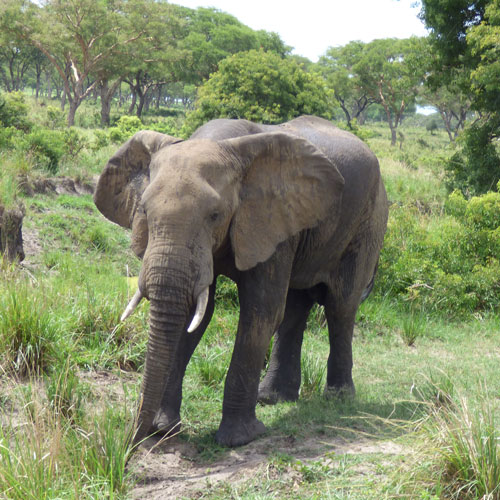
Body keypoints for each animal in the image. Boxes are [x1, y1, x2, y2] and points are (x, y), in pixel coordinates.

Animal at [94, 115, 390, 448]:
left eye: (215, 214)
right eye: (143, 210)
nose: (133, 442)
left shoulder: (268, 216)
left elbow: (260, 311)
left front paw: (238, 439)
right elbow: (193, 313)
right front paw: (164, 428)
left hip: (369, 220)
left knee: (340, 305)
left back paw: (338, 399)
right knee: (296, 307)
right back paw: (272, 398)